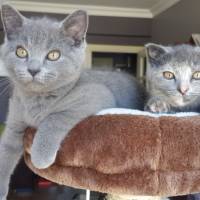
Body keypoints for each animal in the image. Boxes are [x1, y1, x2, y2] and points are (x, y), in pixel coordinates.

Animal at [0, 3, 145, 199]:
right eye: (21, 51)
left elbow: (54, 117)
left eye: (53, 55)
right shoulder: (15, 120)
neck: (36, 100)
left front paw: (40, 156)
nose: (33, 69)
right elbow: (5, 150)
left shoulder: (97, 94)